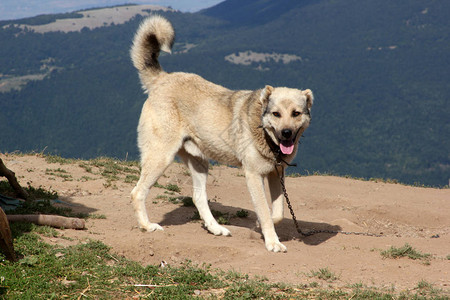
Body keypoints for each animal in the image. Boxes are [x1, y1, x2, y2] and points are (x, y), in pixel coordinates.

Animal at [130, 15, 312, 252]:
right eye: (276, 114)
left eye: (296, 113)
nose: (286, 133)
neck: (265, 134)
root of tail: (162, 79)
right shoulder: (253, 176)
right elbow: (265, 210)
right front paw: (272, 241)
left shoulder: (276, 174)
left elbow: (278, 213)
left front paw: (261, 226)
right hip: (161, 157)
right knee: (138, 192)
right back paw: (147, 226)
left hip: (199, 162)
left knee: (198, 197)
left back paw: (215, 228)